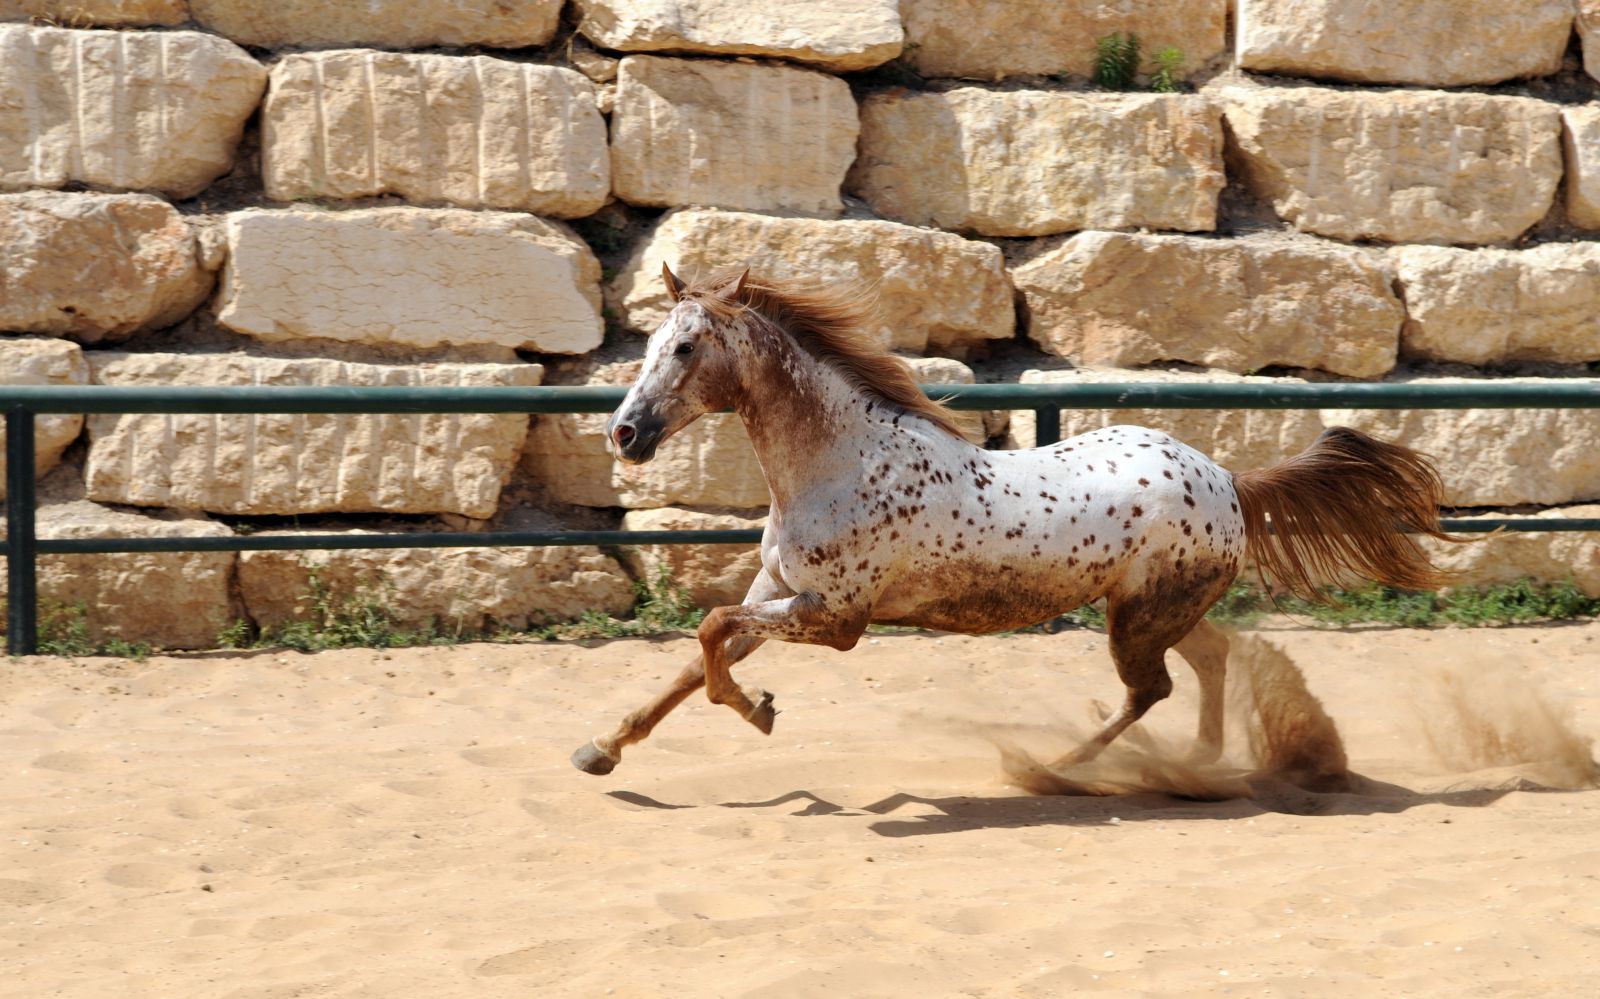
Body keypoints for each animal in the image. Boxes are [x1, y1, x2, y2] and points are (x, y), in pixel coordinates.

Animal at [569, 265, 1459, 781]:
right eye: (650, 344)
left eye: (685, 348)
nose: (624, 434)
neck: (841, 463)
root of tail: (1230, 483)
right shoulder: (777, 592)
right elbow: (693, 659)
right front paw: (601, 748)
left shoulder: (837, 619)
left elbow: (710, 634)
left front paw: (757, 707)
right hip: (1152, 608)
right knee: (1210, 659)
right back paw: (1198, 760)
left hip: (1137, 620)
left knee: (1154, 687)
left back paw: (1062, 765)